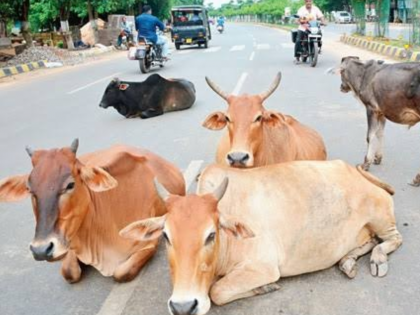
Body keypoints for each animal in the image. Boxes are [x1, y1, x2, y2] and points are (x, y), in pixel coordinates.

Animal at [0, 140, 185, 284]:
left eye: (70, 184)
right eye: (30, 189)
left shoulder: (149, 243)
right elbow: (69, 272)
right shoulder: (70, 242)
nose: (41, 250)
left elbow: (122, 273)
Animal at [120, 160, 400, 315]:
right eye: (166, 236)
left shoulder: (262, 267)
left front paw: (265, 287)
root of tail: (355, 169)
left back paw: (377, 260)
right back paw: (347, 262)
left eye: (211, 234)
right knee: (368, 242)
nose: (182, 307)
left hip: (381, 217)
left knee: (393, 240)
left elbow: (217, 291)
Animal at [340, 56, 420, 186]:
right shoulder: (382, 112)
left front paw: (366, 163)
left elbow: (370, 136)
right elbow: (380, 134)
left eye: (341, 72)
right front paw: (378, 157)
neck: (364, 74)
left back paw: (416, 179)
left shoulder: (371, 109)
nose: (341, 87)